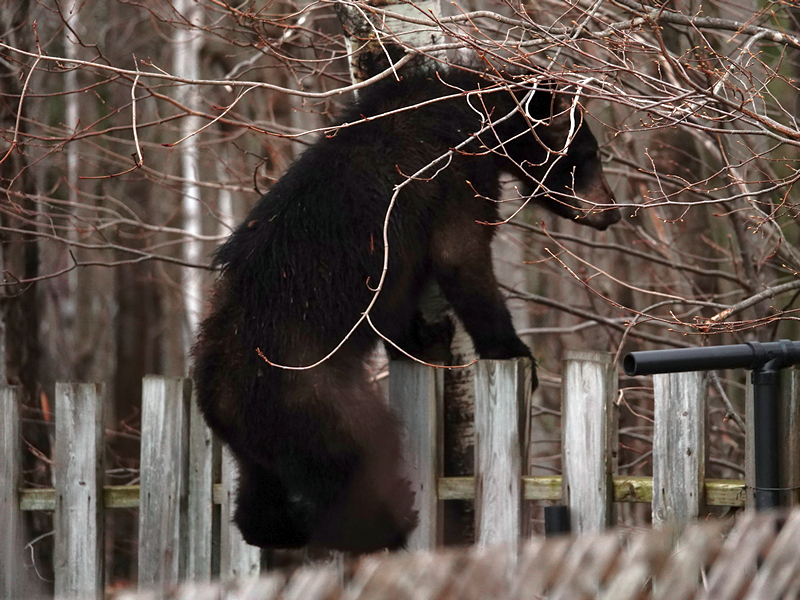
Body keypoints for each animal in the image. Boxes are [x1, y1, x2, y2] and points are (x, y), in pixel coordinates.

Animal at [192, 65, 620, 552]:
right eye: (589, 153)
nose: (613, 210)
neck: (477, 115)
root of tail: (217, 395)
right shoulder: (453, 169)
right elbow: (460, 255)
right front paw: (514, 351)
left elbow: (401, 303)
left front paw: (425, 337)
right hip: (313, 400)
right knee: (359, 457)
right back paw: (390, 524)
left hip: (252, 441)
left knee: (258, 493)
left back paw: (282, 528)